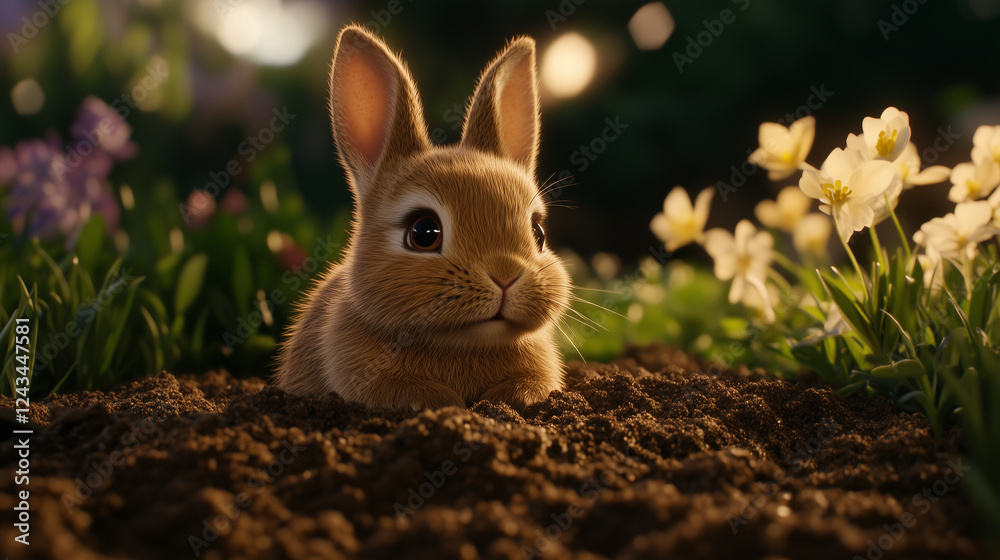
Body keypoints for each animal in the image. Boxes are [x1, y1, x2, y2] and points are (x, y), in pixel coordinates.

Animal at [275, 24, 571, 410]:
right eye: (423, 232)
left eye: (538, 233)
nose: (505, 276)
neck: (464, 345)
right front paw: (442, 401)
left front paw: (513, 398)